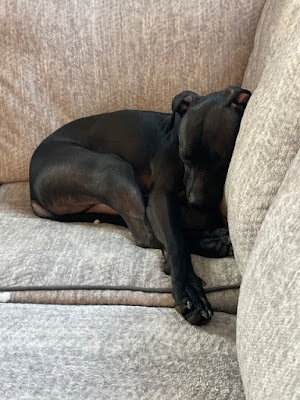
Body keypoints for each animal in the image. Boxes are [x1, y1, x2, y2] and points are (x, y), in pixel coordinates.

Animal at [29, 85, 251, 324]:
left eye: (223, 159)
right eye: (185, 157)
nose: (194, 203)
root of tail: (32, 190)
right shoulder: (160, 197)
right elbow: (175, 242)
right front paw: (189, 291)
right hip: (112, 167)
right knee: (146, 235)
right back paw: (211, 242)